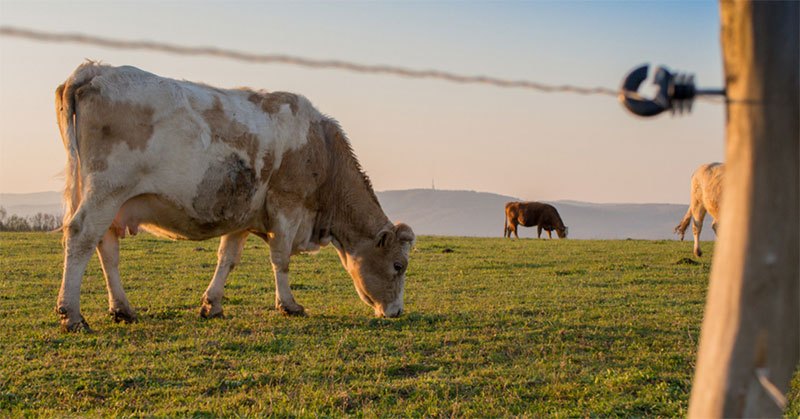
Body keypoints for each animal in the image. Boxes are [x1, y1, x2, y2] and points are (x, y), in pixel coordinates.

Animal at [54, 61, 418, 332]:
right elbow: (280, 259)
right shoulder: (287, 205)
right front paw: (289, 305)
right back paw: (72, 314)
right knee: (81, 236)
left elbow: (227, 258)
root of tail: (95, 69)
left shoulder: (242, 213)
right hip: (107, 188)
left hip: (106, 198)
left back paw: (122, 309)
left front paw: (212, 304)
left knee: (107, 248)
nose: (397, 311)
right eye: (398, 265)